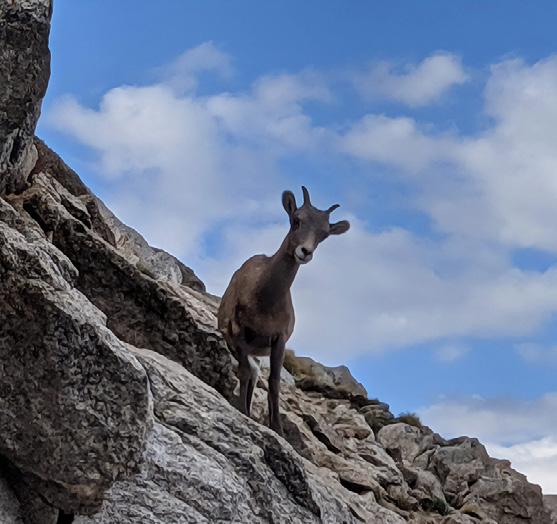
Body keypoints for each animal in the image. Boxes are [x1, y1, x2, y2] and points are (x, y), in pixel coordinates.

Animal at [217, 186, 350, 435]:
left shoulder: (278, 341)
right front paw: (242, 411)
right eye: (296, 220)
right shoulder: (239, 333)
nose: (305, 251)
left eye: (324, 234)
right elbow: (244, 372)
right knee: (250, 373)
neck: (264, 301)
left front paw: (277, 428)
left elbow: (274, 382)